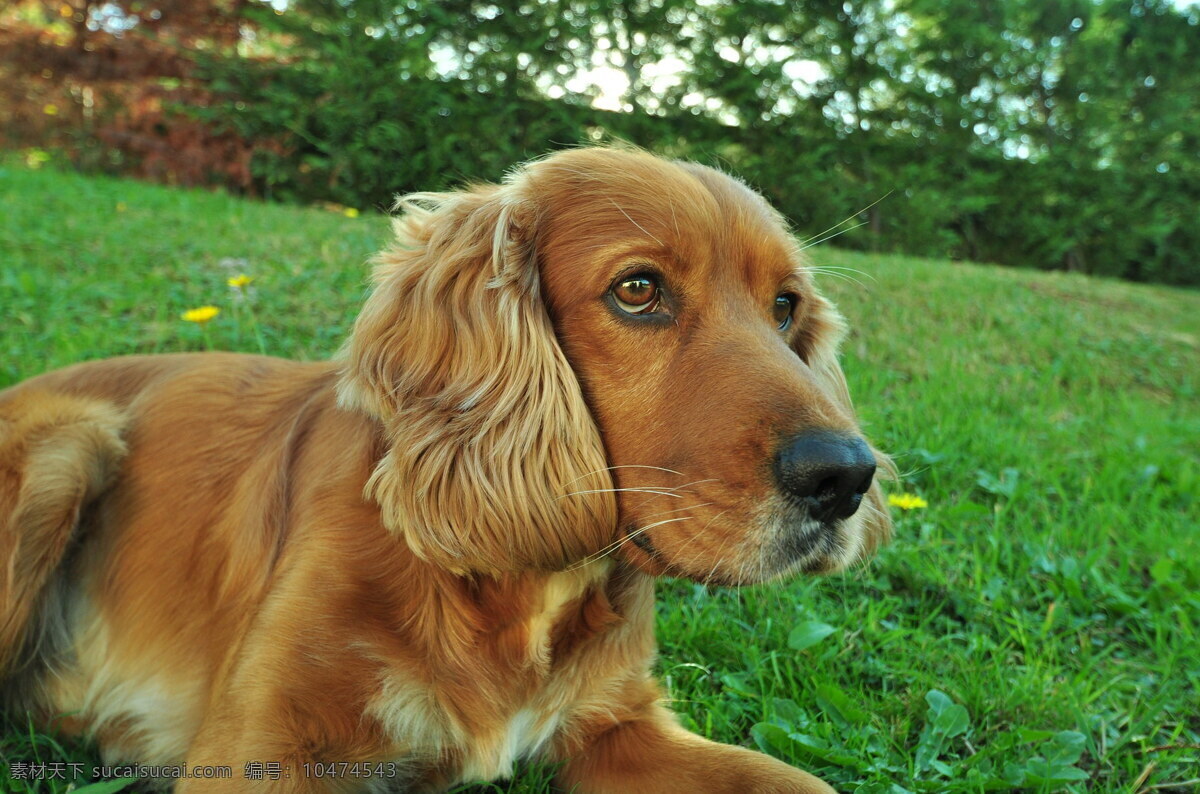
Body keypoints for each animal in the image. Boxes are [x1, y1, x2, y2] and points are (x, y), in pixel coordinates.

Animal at [2, 146, 892, 791]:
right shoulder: (262, 745)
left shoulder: (619, 725)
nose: (845, 478)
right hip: (69, 446)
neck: (518, 590)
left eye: (786, 306)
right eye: (638, 290)